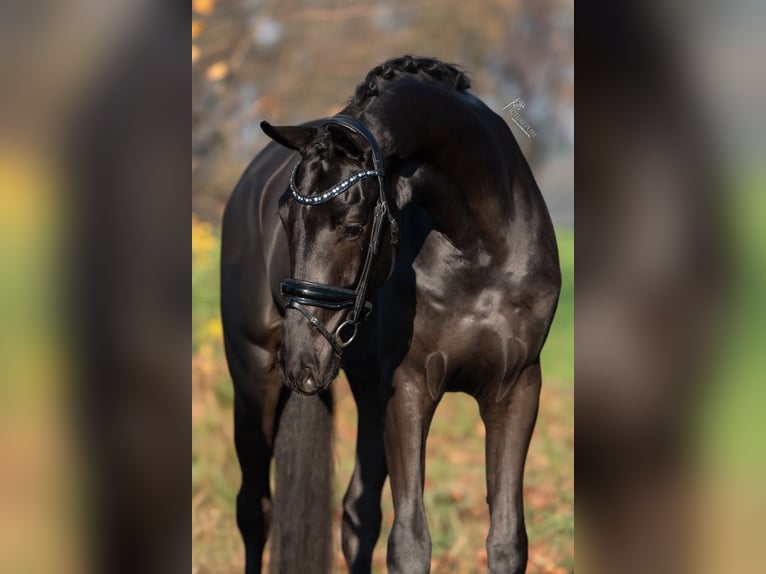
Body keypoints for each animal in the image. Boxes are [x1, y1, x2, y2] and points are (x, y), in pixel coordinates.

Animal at [221, 56, 561, 574]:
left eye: (353, 226)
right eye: (284, 217)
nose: (301, 359)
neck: (482, 248)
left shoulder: (516, 388)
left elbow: (506, 540)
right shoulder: (411, 388)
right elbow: (410, 542)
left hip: (366, 394)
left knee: (356, 514)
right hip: (253, 377)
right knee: (255, 510)